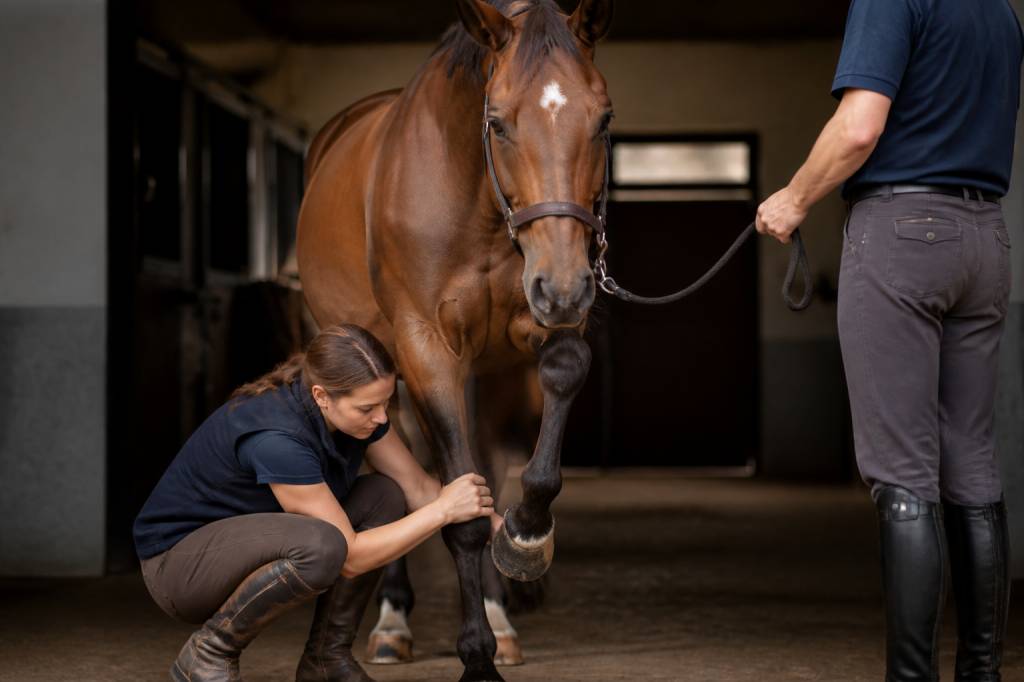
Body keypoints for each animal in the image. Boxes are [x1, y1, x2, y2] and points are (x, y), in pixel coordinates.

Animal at [296, 1, 614, 679]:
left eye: (603, 120)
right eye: (496, 123)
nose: (566, 287)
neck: (477, 201)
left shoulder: (535, 336)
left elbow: (558, 387)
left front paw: (525, 538)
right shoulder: (427, 352)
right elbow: (457, 512)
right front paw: (476, 657)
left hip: (490, 371)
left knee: (488, 459)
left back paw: (500, 611)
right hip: (380, 377)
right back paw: (392, 622)